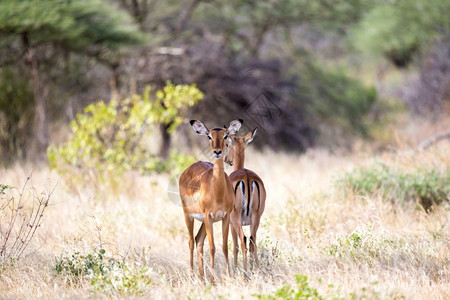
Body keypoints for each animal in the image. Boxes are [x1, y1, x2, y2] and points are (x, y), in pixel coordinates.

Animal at [178, 119, 243, 282]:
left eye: (226, 136)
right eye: (209, 136)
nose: (217, 151)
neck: (218, 192)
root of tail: (187, 170)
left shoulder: (224, 217)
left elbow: (225, 247)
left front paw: (228, 276)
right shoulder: (208, 215)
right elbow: (213, 248)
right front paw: (213, 281)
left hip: (205, 221)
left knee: (198, 240)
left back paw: (202, 278)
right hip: (188, 215)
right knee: (191, 241)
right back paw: (192, 276)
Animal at [223, 127, 266, 270]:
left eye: (227, 144)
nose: (226, 159)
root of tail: (247, 177)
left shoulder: (230, 223)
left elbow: (235, 246)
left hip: (236, 219)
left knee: (243, 240)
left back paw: (245, 271)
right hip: (256, 218)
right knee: (253, 241)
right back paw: (255, 269)